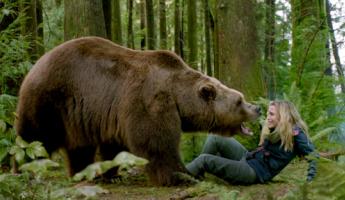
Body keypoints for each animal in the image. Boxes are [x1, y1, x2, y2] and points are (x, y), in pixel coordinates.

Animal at [14, 36, 260, 186]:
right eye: (240, 100)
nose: (256, 108)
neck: (178, 95)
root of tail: (37, 62)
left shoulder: (115, 115)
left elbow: (113, 147)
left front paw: (110, 174)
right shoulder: (149, 102)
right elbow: (157, 143)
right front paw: (183, 175)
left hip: (78, 114)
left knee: (80, 147)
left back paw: (82, 173)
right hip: (49, 99)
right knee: (33, 138)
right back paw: (24, 170)